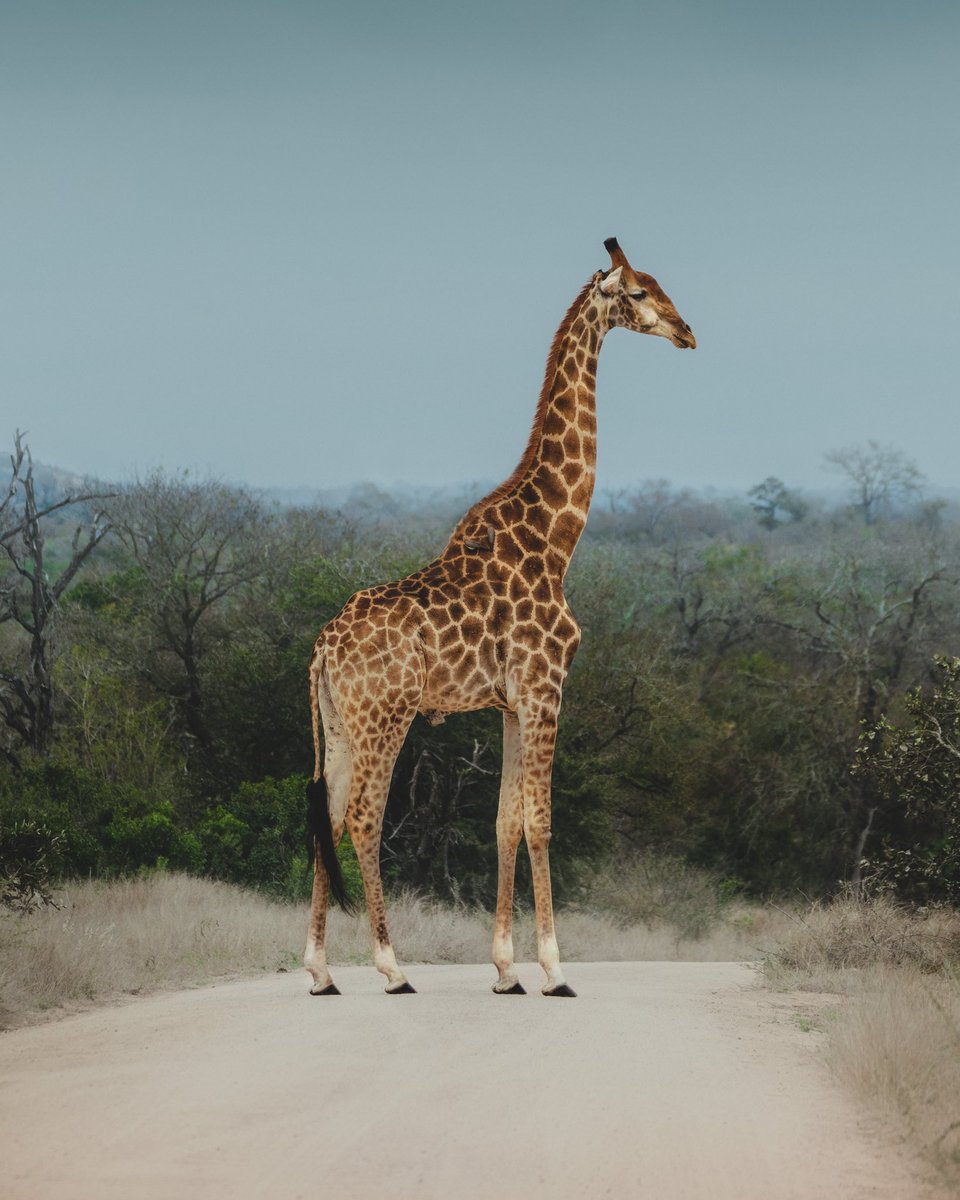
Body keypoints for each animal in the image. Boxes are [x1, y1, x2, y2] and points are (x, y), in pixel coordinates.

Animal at [304, 238, 695, 997]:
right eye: (638, 291)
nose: (687, 332)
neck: (556, 538)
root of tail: (323, 650)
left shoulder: (512, 702)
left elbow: (504, 823)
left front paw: (506, 970)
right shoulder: (545, 688)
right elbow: (540, 822)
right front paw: (554, 969)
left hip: (336, 722)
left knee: (328, 818)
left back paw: (319, 972)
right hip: (384, 716)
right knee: (363, 818)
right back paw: (391, 968)